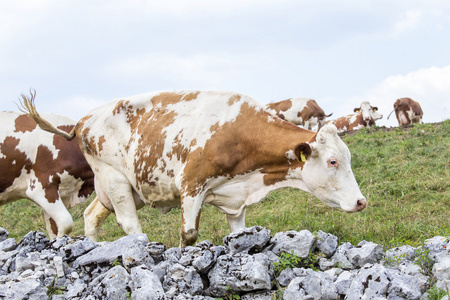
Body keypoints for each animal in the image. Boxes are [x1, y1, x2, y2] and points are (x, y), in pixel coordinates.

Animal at [20, 90, 366, 247]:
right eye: (333, 161)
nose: (361, 201)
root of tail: (85, 118)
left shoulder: (235, 200)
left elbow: (237, 233)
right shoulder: (192, 185)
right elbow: (189, 234)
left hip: (117, 188)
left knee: (92, 216)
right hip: (114, 178)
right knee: (131, 225)